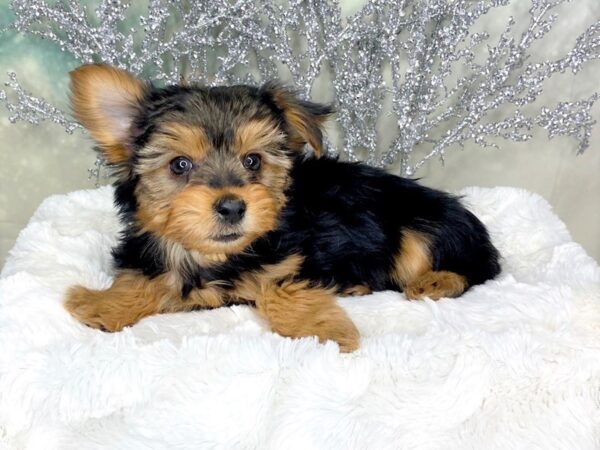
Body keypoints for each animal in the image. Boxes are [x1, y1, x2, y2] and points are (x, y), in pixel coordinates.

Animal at [64, 63, 502, 352]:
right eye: (180, 165)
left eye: (253, 161)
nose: (232, 206)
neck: (219, 257)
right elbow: (144, 278)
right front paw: (104, 304)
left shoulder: (298, 260)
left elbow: (278, 289)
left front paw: (324, 330)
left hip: (422, 228)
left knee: (473, 269)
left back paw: (434, 282)